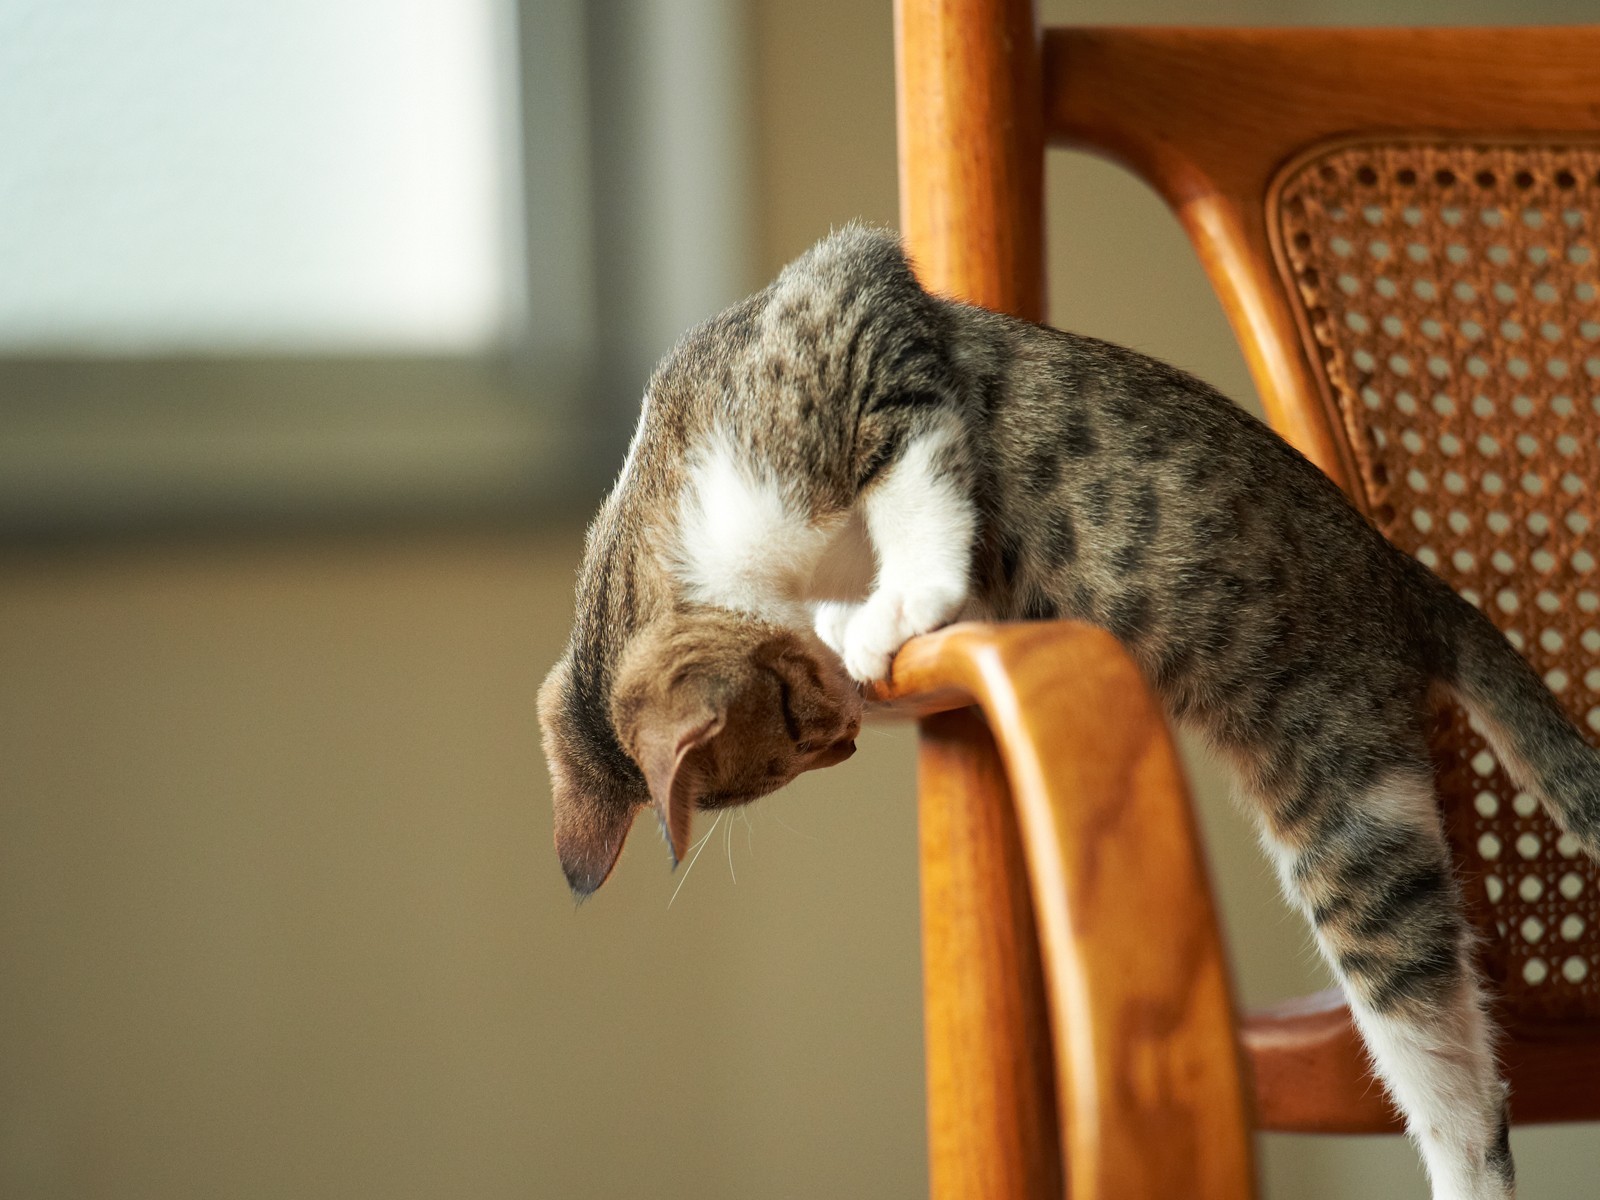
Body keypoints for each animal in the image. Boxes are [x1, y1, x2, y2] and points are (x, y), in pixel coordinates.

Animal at [544, 227, 1600, 1200]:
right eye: (801, 747)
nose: (844, 738)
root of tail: (1398, 576)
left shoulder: (859, 307)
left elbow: (916, 478)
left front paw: (910, 599)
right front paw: (860, 625)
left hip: (1350, 817)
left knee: (1458, 1085)